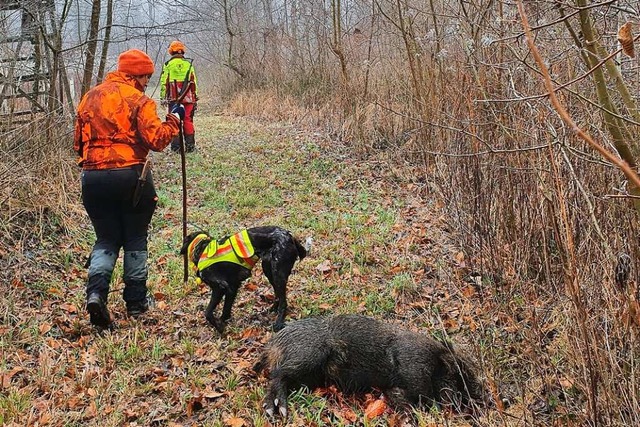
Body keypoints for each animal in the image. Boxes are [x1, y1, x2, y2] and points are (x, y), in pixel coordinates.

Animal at [180, 226, 310, 332]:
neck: (202, 249)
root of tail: (290, 236)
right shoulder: (232, 287)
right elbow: (226, 309)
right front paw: (223, 321)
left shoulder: (220, 287)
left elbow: (207, 312)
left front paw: (219, 328)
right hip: (269, 270)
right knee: (278, 295)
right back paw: (272, 309)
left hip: (278, 273)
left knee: (284, 301)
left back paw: (278, 323)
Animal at [255, 316, 484, 420]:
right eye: (460, 375)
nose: (484, 399)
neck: (436, 363)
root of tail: (273, 344)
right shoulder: (413, 363)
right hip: (307, 354)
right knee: (277, 375)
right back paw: (277, 410)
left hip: (309, 375)